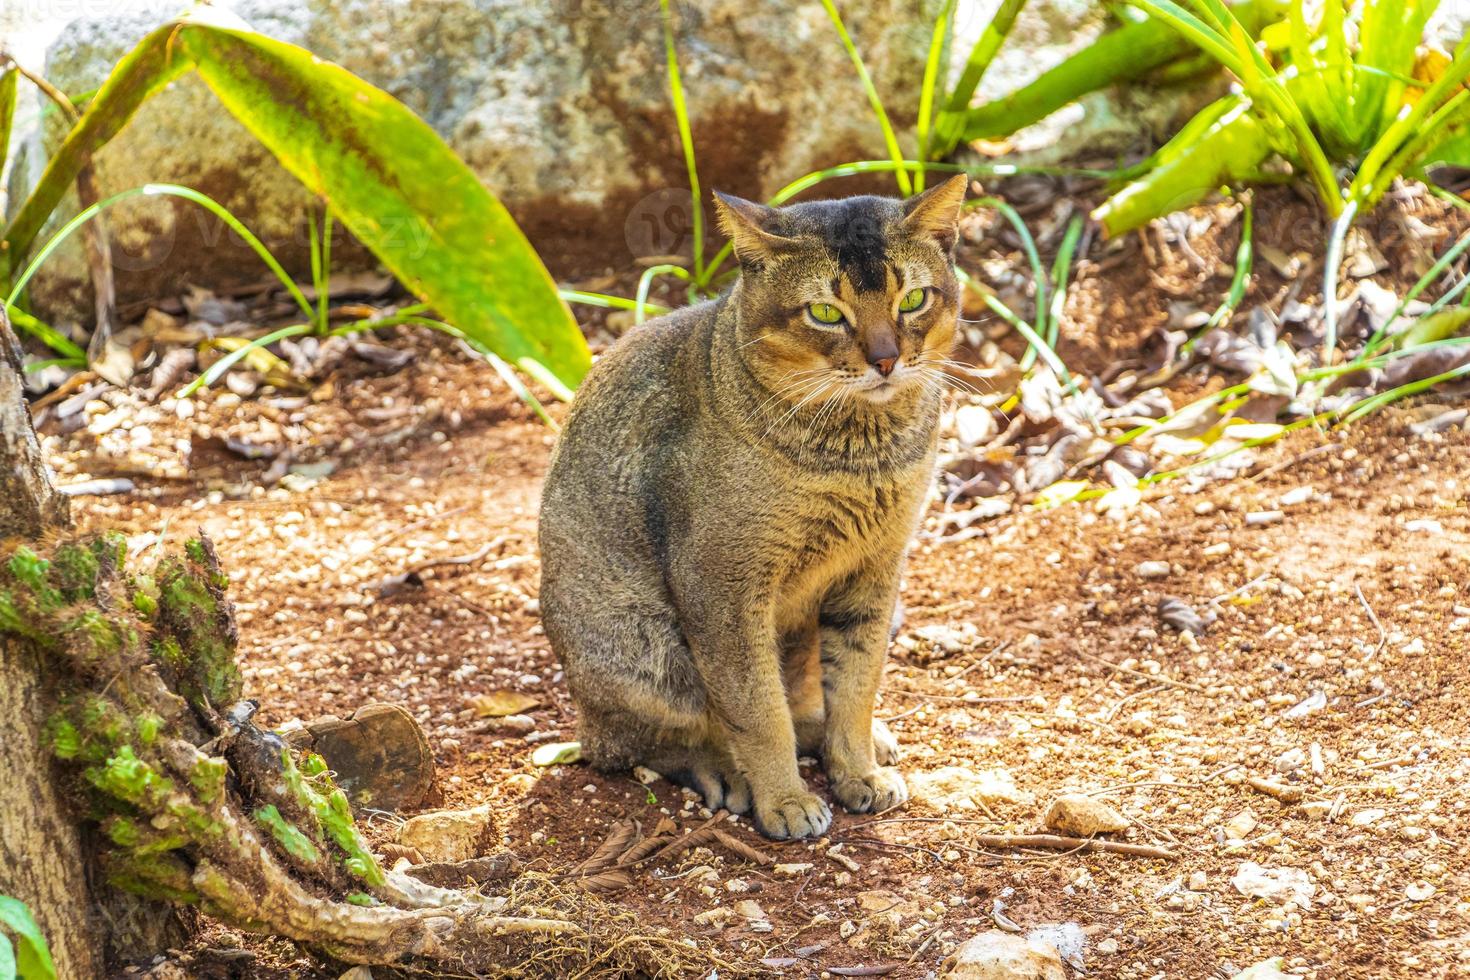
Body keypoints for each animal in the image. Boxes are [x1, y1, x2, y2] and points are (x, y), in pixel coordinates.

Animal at [535, 172, 970, 840]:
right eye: (825, 312)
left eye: (914, 300)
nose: (886, 359)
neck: (859, 458)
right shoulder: (724, 587)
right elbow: (758, 709)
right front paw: (785, 800)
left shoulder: (876, 567)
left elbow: (857, 684)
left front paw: (858, 770)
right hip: (645, 646)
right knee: (636, 744)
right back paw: (725, 771)